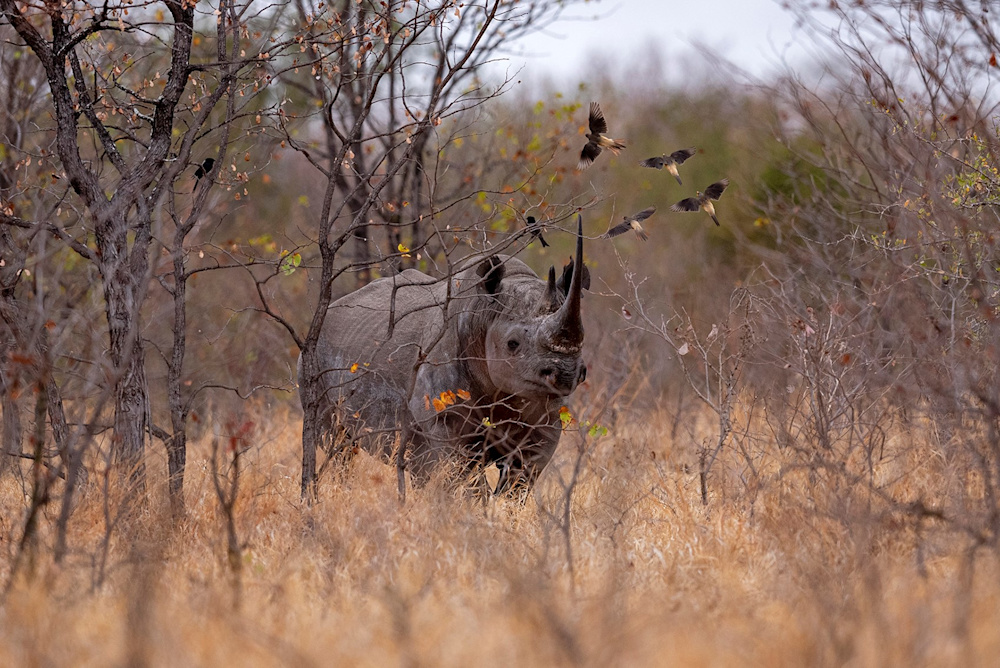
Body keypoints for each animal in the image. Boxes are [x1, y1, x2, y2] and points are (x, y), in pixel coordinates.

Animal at [305, 217, 589, 495]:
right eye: (512, 344)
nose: (566, 374)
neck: (483, 313)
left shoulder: (541, 417)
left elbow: (519, 484)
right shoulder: (445, 420)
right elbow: (469, 485)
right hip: (316, 356)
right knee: (337, 445)